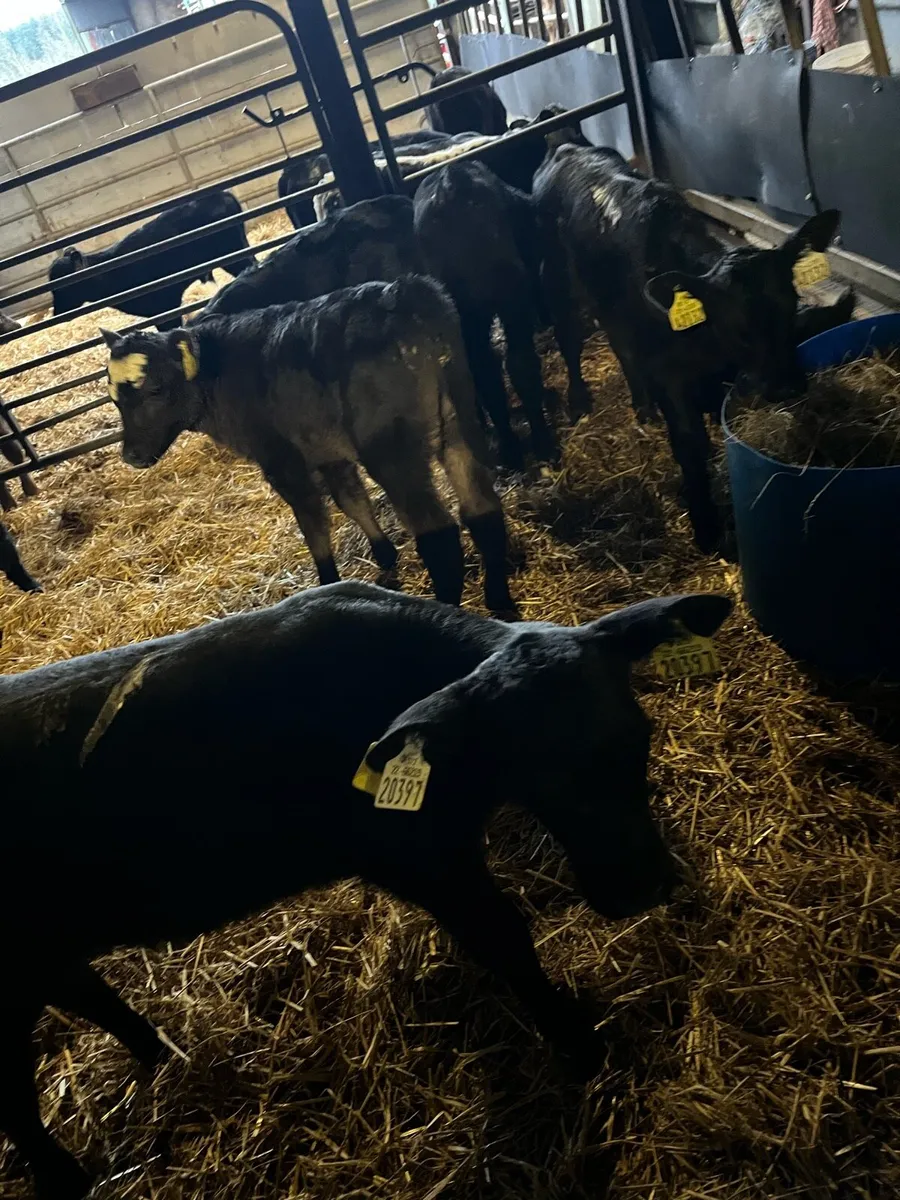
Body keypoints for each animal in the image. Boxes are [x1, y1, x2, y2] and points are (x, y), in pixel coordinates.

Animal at [0, 580, 732, 1200]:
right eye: (534, 771)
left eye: (638, 737)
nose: (642, 887)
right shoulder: (415, 855)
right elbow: (505, 938)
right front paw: (580, 1044)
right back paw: (65, 1177)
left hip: (44, 952)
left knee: (87, 994)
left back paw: (163, 1061)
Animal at [103, 275, 515, 613]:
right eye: (114, 398)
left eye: (155, 389)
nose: (131, 455)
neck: (222, 371)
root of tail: (403, 294)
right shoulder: (328, 452)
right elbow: (352, 501)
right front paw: (384, 558)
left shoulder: (283, 462)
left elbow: (314, 526)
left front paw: (327, 585)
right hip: (460, 421)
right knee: (482, 509)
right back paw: (499, 600)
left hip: (392, 453)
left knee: (439, 534)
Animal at [414, 160, 557, 468]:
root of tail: (450, 184)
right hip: (506, 296)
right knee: (513, 364)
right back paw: (538, 442)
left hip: (467, 312)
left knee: (488, 371)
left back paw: (514, 448)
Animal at [533, 143, 842, 553]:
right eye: (737, 327)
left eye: (791, 305)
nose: (786, 386)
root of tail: (566, 147)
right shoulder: (670, 376)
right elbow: (689, 444)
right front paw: (706, 528)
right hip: (556, 282)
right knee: (570, 340)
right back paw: (580, 402)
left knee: (622, 346)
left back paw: (643, 408)